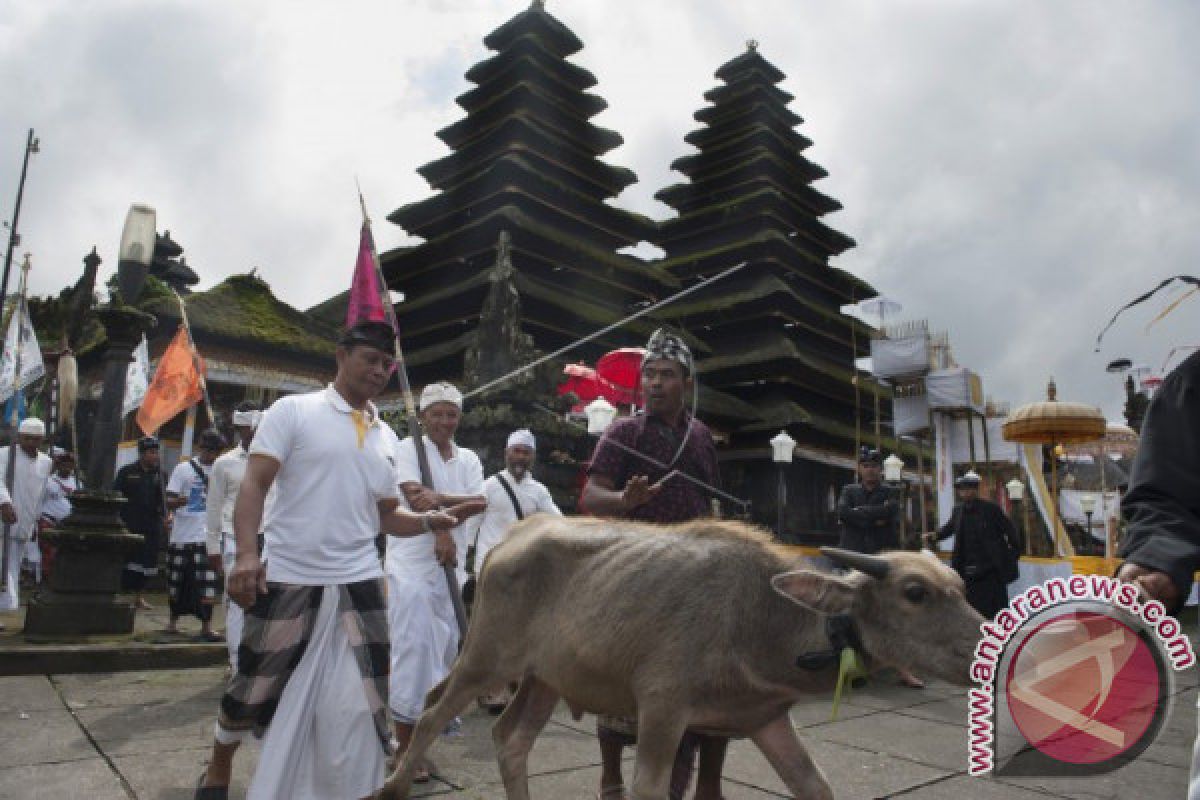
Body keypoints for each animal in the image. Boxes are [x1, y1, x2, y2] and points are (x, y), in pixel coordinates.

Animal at [381, 515, 984, 796]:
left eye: (959, 585)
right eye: (915, 592)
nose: (987, 647)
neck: (758, 618)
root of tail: (512, 536)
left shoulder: (765, 719)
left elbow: (813, 786)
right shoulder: (662, 710)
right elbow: (649, 788)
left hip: (544, 678)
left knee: (511, 738)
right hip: (487, 657)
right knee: (432, 711)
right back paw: (393, 785)